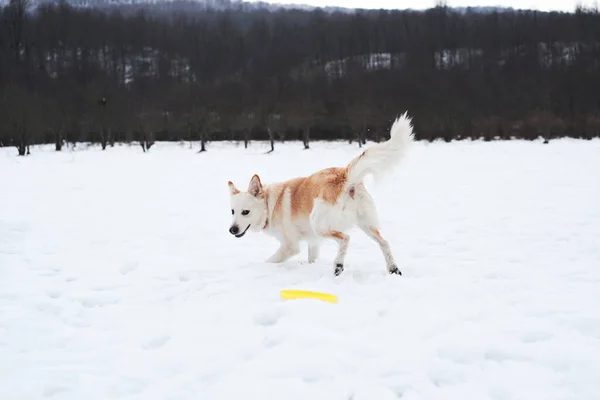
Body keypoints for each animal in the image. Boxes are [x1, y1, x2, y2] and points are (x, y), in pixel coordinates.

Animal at [227, 111, 414, 276]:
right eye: (232, 211)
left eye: (245, 212)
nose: (232, 230)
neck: (270, 205)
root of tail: (344, 176)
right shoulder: (313, 242)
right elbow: (312, 258)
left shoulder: (290, 246)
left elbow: (270, 260)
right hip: (365, 224)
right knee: (384, 242)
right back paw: (393, 269)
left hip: (318, 223)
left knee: (345, 238)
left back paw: (338, 265)